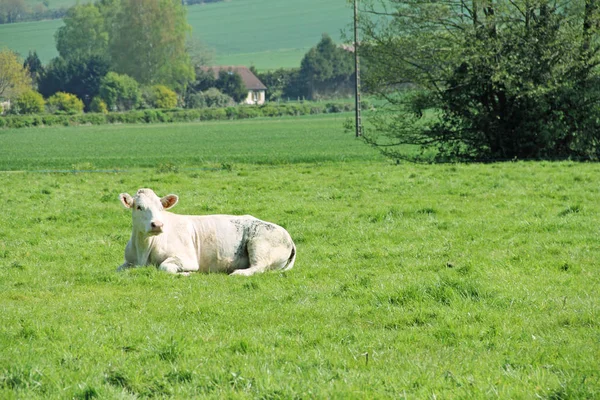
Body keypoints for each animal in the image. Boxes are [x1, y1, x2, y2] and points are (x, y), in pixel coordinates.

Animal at [117, 188, 296, 276]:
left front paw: (186, 274)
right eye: (139, 207)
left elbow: (164, 267)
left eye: (161, 207)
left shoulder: (188, 259)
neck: (144, 248)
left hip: (259, 245)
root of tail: (289, 238)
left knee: (259, 267)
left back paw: (238, 273)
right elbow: (118, 270)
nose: (157, 225)